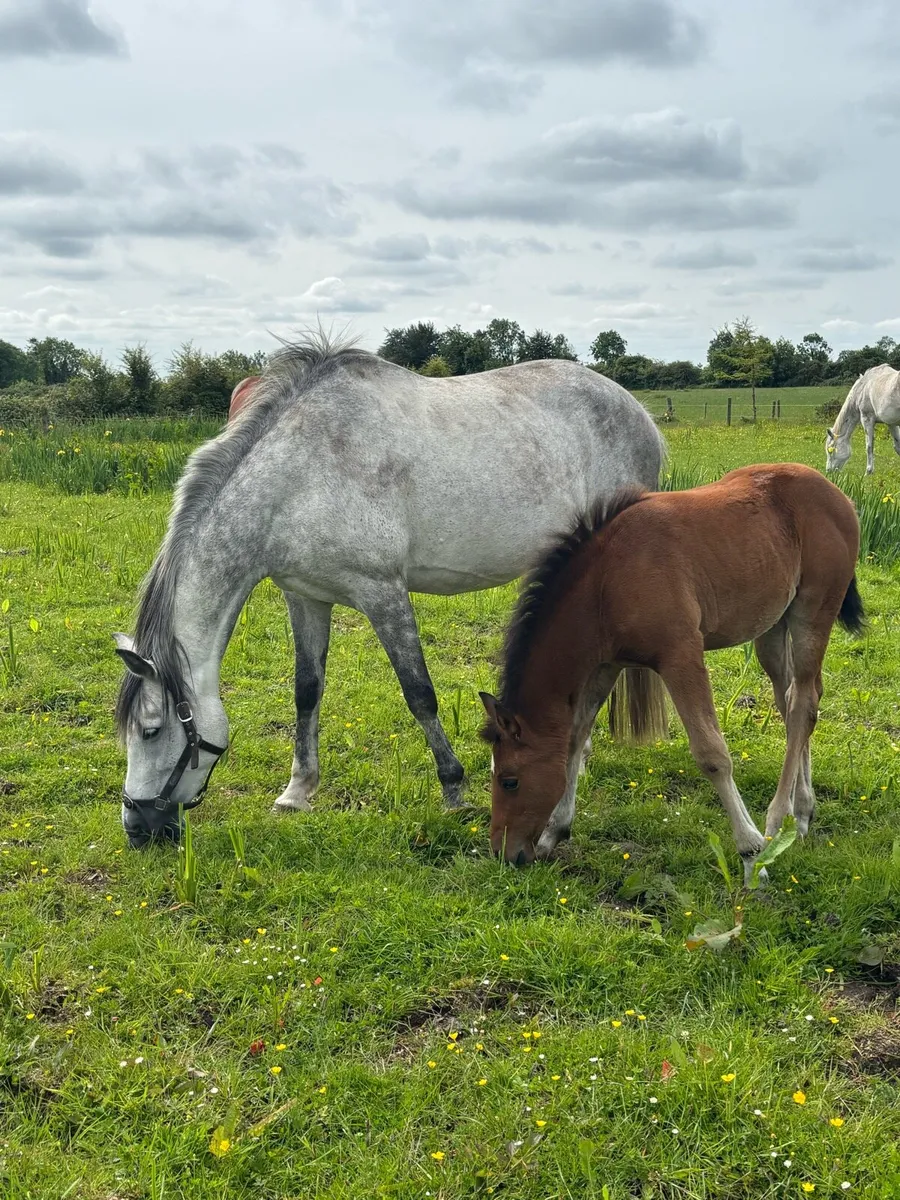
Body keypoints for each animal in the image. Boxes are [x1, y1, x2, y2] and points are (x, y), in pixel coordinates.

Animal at [114, 332, 665, 848]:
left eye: (151, 730)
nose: (137, 828)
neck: (299, 477)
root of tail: (638, 413)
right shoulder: (305, 596)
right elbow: (306, 691)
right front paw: (297, 791)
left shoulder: (382, 593)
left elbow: (419, 693)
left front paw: (454, 790)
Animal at [480, 463, 863, 885]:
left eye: (510, 780)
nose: (503, 852)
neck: (607, 580)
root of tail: (838, 495)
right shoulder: (607, 664)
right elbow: (576, 738)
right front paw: (555, 832)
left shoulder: (681, 656)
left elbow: (712, 755)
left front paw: (750, 856)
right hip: (773, 627)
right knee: (794, 699)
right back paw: (803, 810)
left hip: (813, 612)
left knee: (802, 705)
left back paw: (775, 824)